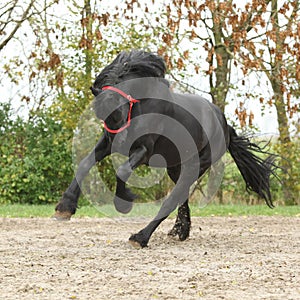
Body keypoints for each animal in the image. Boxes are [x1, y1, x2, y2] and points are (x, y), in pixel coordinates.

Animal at [54, 49, 276, 248]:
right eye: (102, 114)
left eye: (120, 110)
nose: (122, 142)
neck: (141, 104)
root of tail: (224, 124)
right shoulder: (107, 143)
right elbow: (84, 164)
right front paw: (65, 208)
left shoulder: (143, 150)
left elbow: (122, 170)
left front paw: (124, 203)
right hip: (175, 167)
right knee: (181, 197)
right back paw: (180, 231)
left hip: (194, 167)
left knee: (172, 199)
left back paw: (141, 238)